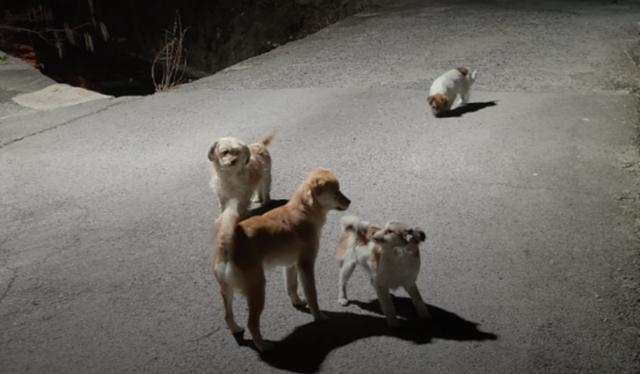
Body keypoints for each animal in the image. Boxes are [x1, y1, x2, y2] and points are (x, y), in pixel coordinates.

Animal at [210, 168, 350, 352]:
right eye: (336, 192)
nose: (349, 202)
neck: (303, 211)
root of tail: (228, 244)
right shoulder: (306, 265)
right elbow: (312, 294)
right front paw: (318, 316)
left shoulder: (290, 265)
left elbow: (291, 287)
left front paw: (297, 302)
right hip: (257, 289)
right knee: (252, 323)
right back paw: (263, 345)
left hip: (227, 290)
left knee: (228, 315)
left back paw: (235, 328)